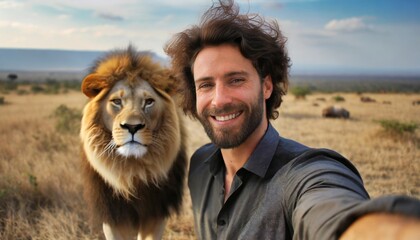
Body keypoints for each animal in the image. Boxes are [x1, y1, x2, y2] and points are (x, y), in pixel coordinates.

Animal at [80, 45, 187, 240]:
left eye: (149, 102)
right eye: (116, 101)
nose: (132, 126)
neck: (132, 171)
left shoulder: (156, 214)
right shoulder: (113, 216)